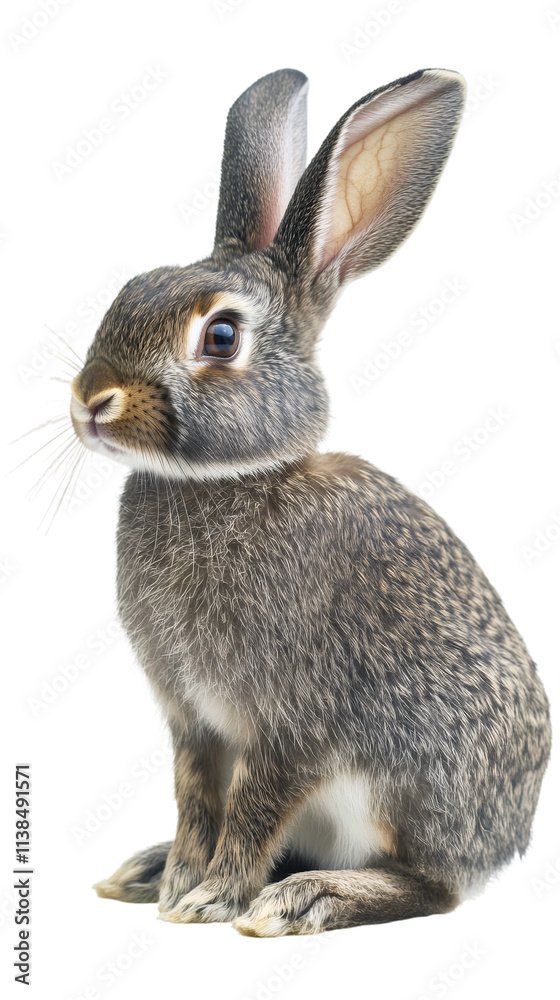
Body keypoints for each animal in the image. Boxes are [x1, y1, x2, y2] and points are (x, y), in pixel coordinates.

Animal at [70, 67, 551, 936]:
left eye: (221, 337)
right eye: (126, 291)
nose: (91, 400)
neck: (224, 482)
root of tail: (505, 841)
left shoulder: (294, 723)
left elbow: (255, 808)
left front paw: (211, 901)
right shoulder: (194, 724)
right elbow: (199, 800)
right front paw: (176, 884)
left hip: (402, 788)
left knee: (432, 886)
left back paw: (308, 897)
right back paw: (149, 870)